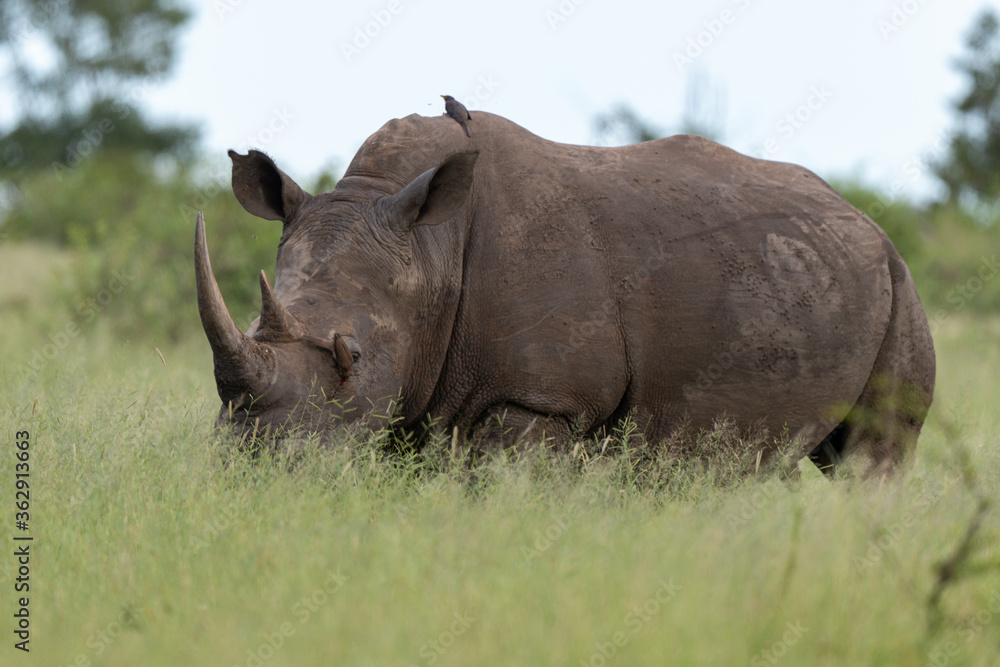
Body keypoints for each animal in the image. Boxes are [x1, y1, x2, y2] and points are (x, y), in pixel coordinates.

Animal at [195, 111, 935, 475]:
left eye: (351, 359)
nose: (253, 465)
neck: (430, 247)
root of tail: (867, 222)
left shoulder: (545, 399)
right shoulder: (420, 398)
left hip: (899, 285)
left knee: (873, 456)